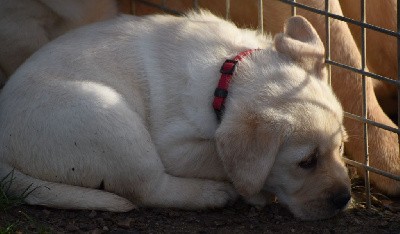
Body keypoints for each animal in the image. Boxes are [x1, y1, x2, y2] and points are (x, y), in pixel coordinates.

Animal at [0, 11, 350, 220]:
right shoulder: (175, 148)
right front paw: (255, 192)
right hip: (108, 119)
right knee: (148, 189)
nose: (345, 198)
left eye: (342, 146)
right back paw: (212, 195)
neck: (229, 75)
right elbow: (221, 160)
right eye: (306, 162)